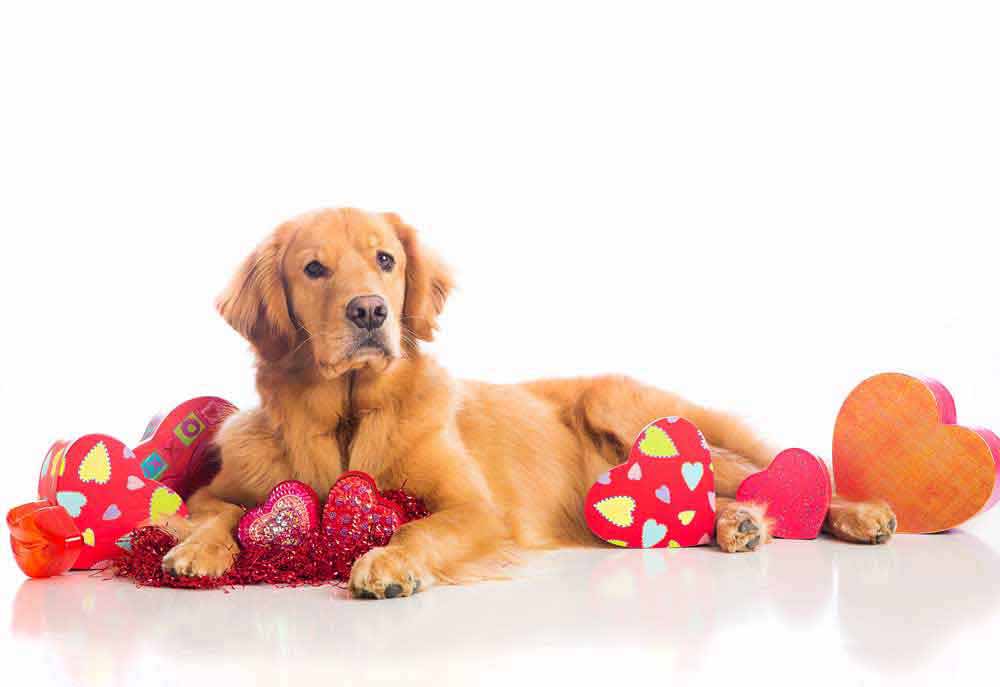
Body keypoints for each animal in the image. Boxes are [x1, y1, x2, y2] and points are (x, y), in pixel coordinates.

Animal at [160, 207, 896, 600]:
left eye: (385, 260)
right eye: (313, 268)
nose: (369, 311)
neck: (345, 416)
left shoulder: (476, 508)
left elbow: (419, 528)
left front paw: (391, 562)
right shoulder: (215, 488)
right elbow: (220, 514)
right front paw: (198, 550)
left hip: (620, 404)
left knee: (762, 474)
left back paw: (856, 514)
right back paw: (737, 523)